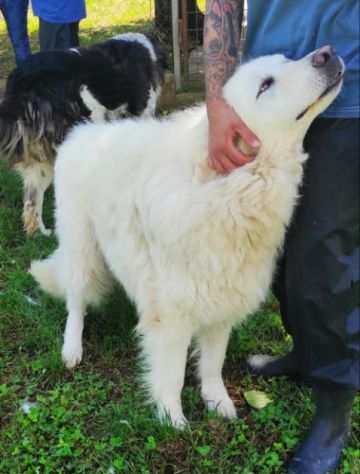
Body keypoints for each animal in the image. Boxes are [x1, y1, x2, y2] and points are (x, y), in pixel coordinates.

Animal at [30, 48, 344, 430]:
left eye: (287, 59)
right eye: (265, 85)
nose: (327, 53)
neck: (231, 192)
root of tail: (83, 132)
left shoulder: (223, 301)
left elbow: (212, 364)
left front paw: (218, 402)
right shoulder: (172, 317)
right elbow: (173, 374)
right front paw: (172, 419)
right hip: (82, 246)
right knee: (76, 300)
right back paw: (72, 349)